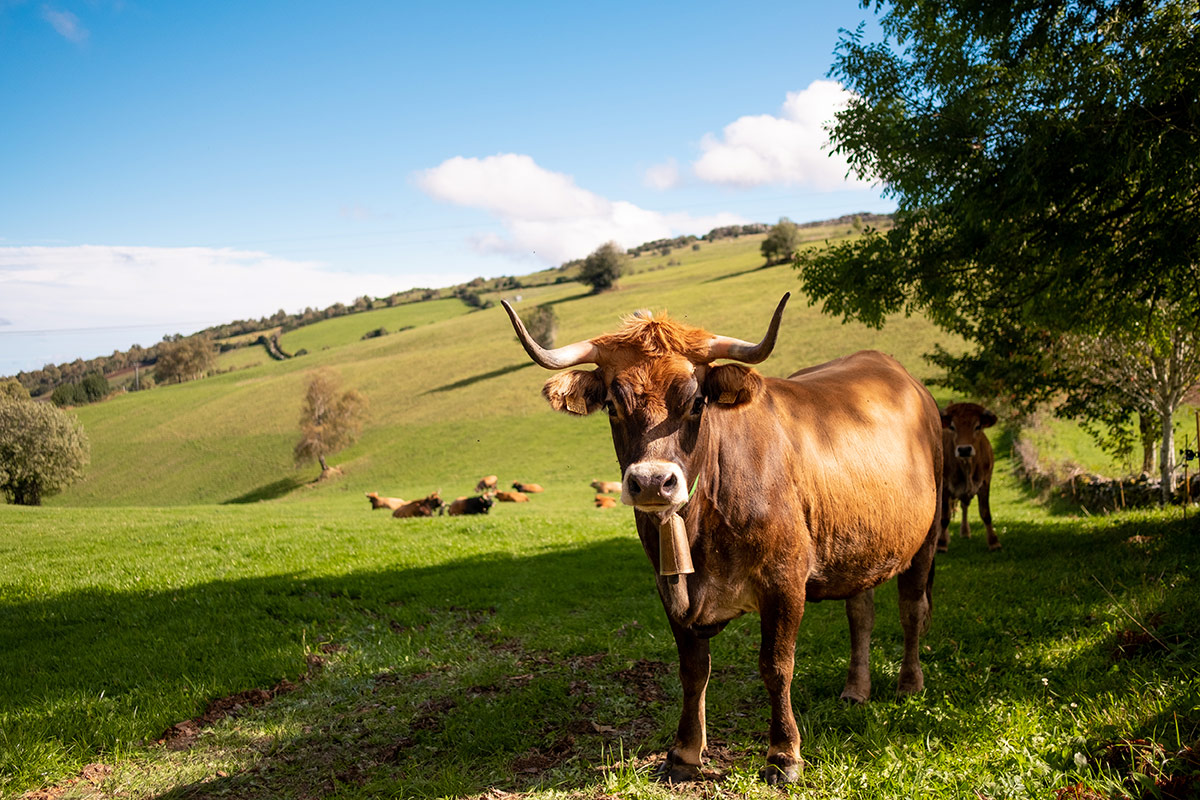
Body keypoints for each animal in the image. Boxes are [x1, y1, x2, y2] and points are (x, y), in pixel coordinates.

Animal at [501, 296, 940, 786]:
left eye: (696, 402)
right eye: (613, 404)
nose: (652, 482)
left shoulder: (785, 582)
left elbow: (776, 665)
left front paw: (784, 754)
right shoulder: (670, 588)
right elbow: (693, 670)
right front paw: (684, 752)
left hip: (927, 536)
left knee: (911, 609)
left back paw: (909, 684)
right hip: (858, 546)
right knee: (860, 614)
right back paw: (855, 690)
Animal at [940, 407, 998, 551]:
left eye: (977, 426)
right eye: (952, 427)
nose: (964, 449)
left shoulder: (985, 482)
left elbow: (985, 513)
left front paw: (994, 542)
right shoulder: (945, 486)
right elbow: (944, 517)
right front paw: (942, 543)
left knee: (964, 506)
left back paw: (965, 532)